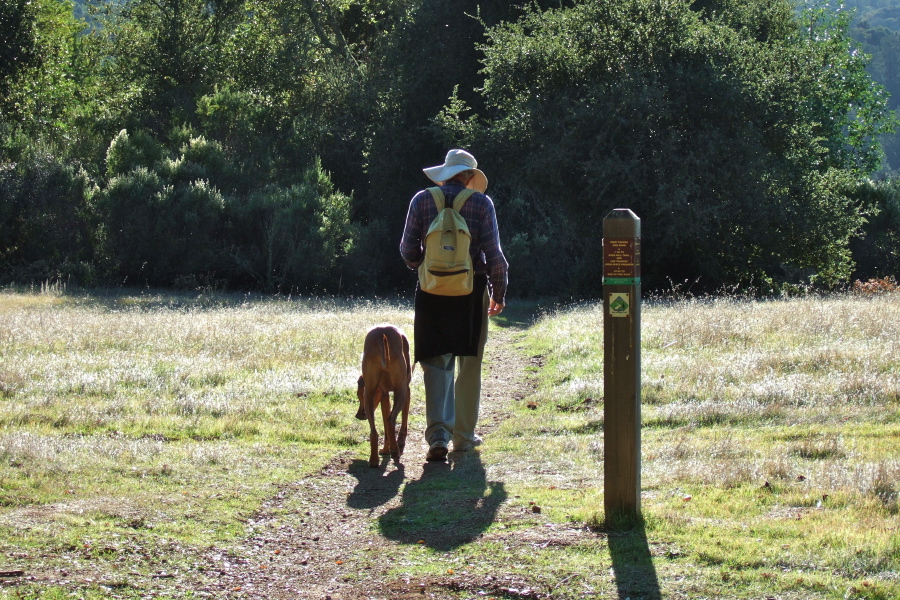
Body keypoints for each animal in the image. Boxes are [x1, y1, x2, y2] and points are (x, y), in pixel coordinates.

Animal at [356, 326, 414, 466]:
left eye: (359, 396)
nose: (358, 416)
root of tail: (381, 333)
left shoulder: (383, 395)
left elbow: (386, 426)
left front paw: (385, 449)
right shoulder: (406, 390)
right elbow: (403, 421)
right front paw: (399, 444)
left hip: (370, 392)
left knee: (375, 430)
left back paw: (374, 460)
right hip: (401, 391)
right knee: (390, 420)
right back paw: (395, 451)